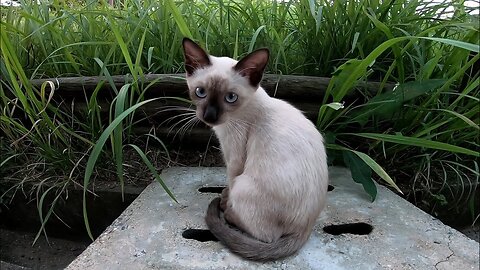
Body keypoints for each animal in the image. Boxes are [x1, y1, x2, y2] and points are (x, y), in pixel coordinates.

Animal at [182, 38, 328, 262]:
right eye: (200, 92)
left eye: (230, 97)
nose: (210, 116)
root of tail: (305, 229)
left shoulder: (234, 155)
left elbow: (230, 181)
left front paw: (226, 201)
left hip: (244, 184)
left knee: (267, 236)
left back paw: (228, 212)